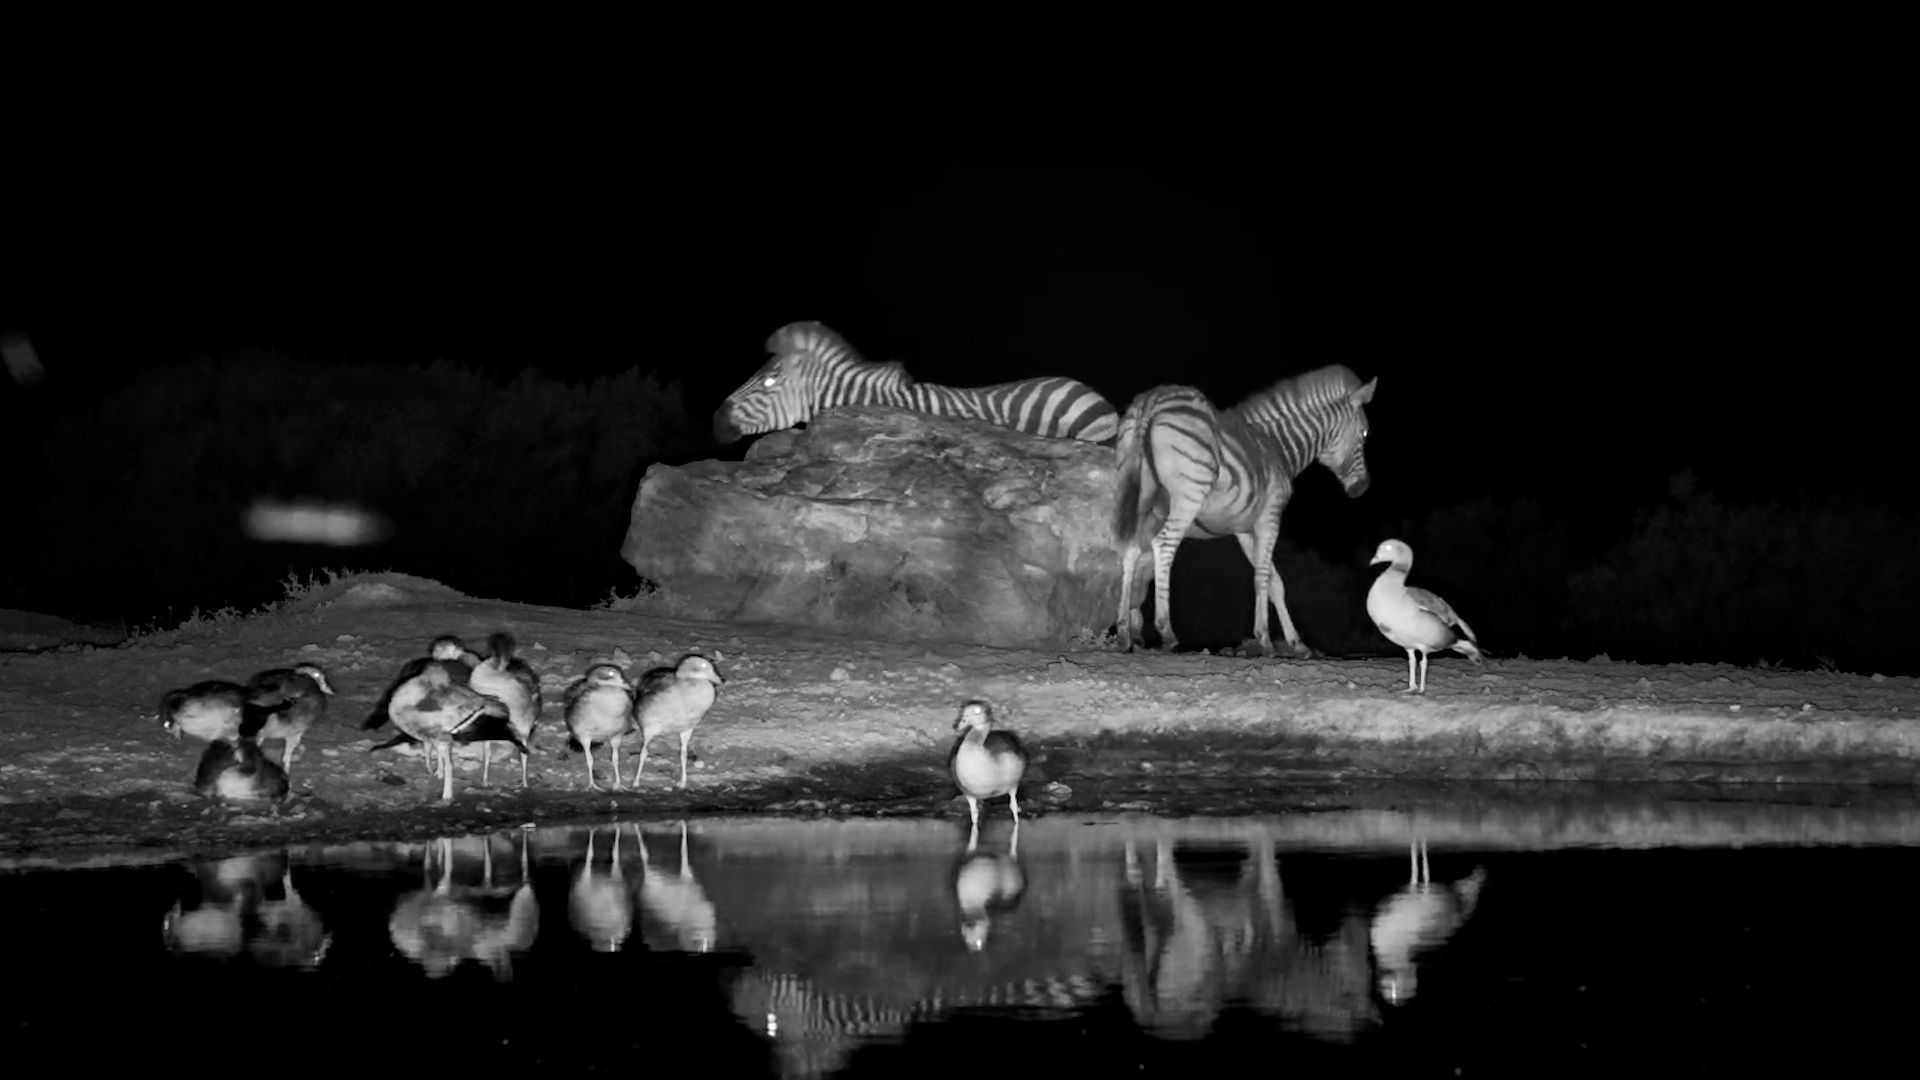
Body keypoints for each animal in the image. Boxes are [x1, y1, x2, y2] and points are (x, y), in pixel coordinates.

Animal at [1111, 365, 1377, 658]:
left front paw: (1297, 644)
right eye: (1365, 433)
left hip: (1142, 499)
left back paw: (1124, 632)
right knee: (1164, 545)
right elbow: (1263, 577)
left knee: (1131, 549)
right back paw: (1166, 631)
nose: (1362, 488)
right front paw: (1265, 640)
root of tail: (1151, 400)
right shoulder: (1270, 518)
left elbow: (1276, 583)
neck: (1277, 447)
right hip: (1186, 497)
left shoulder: (1245, 529)